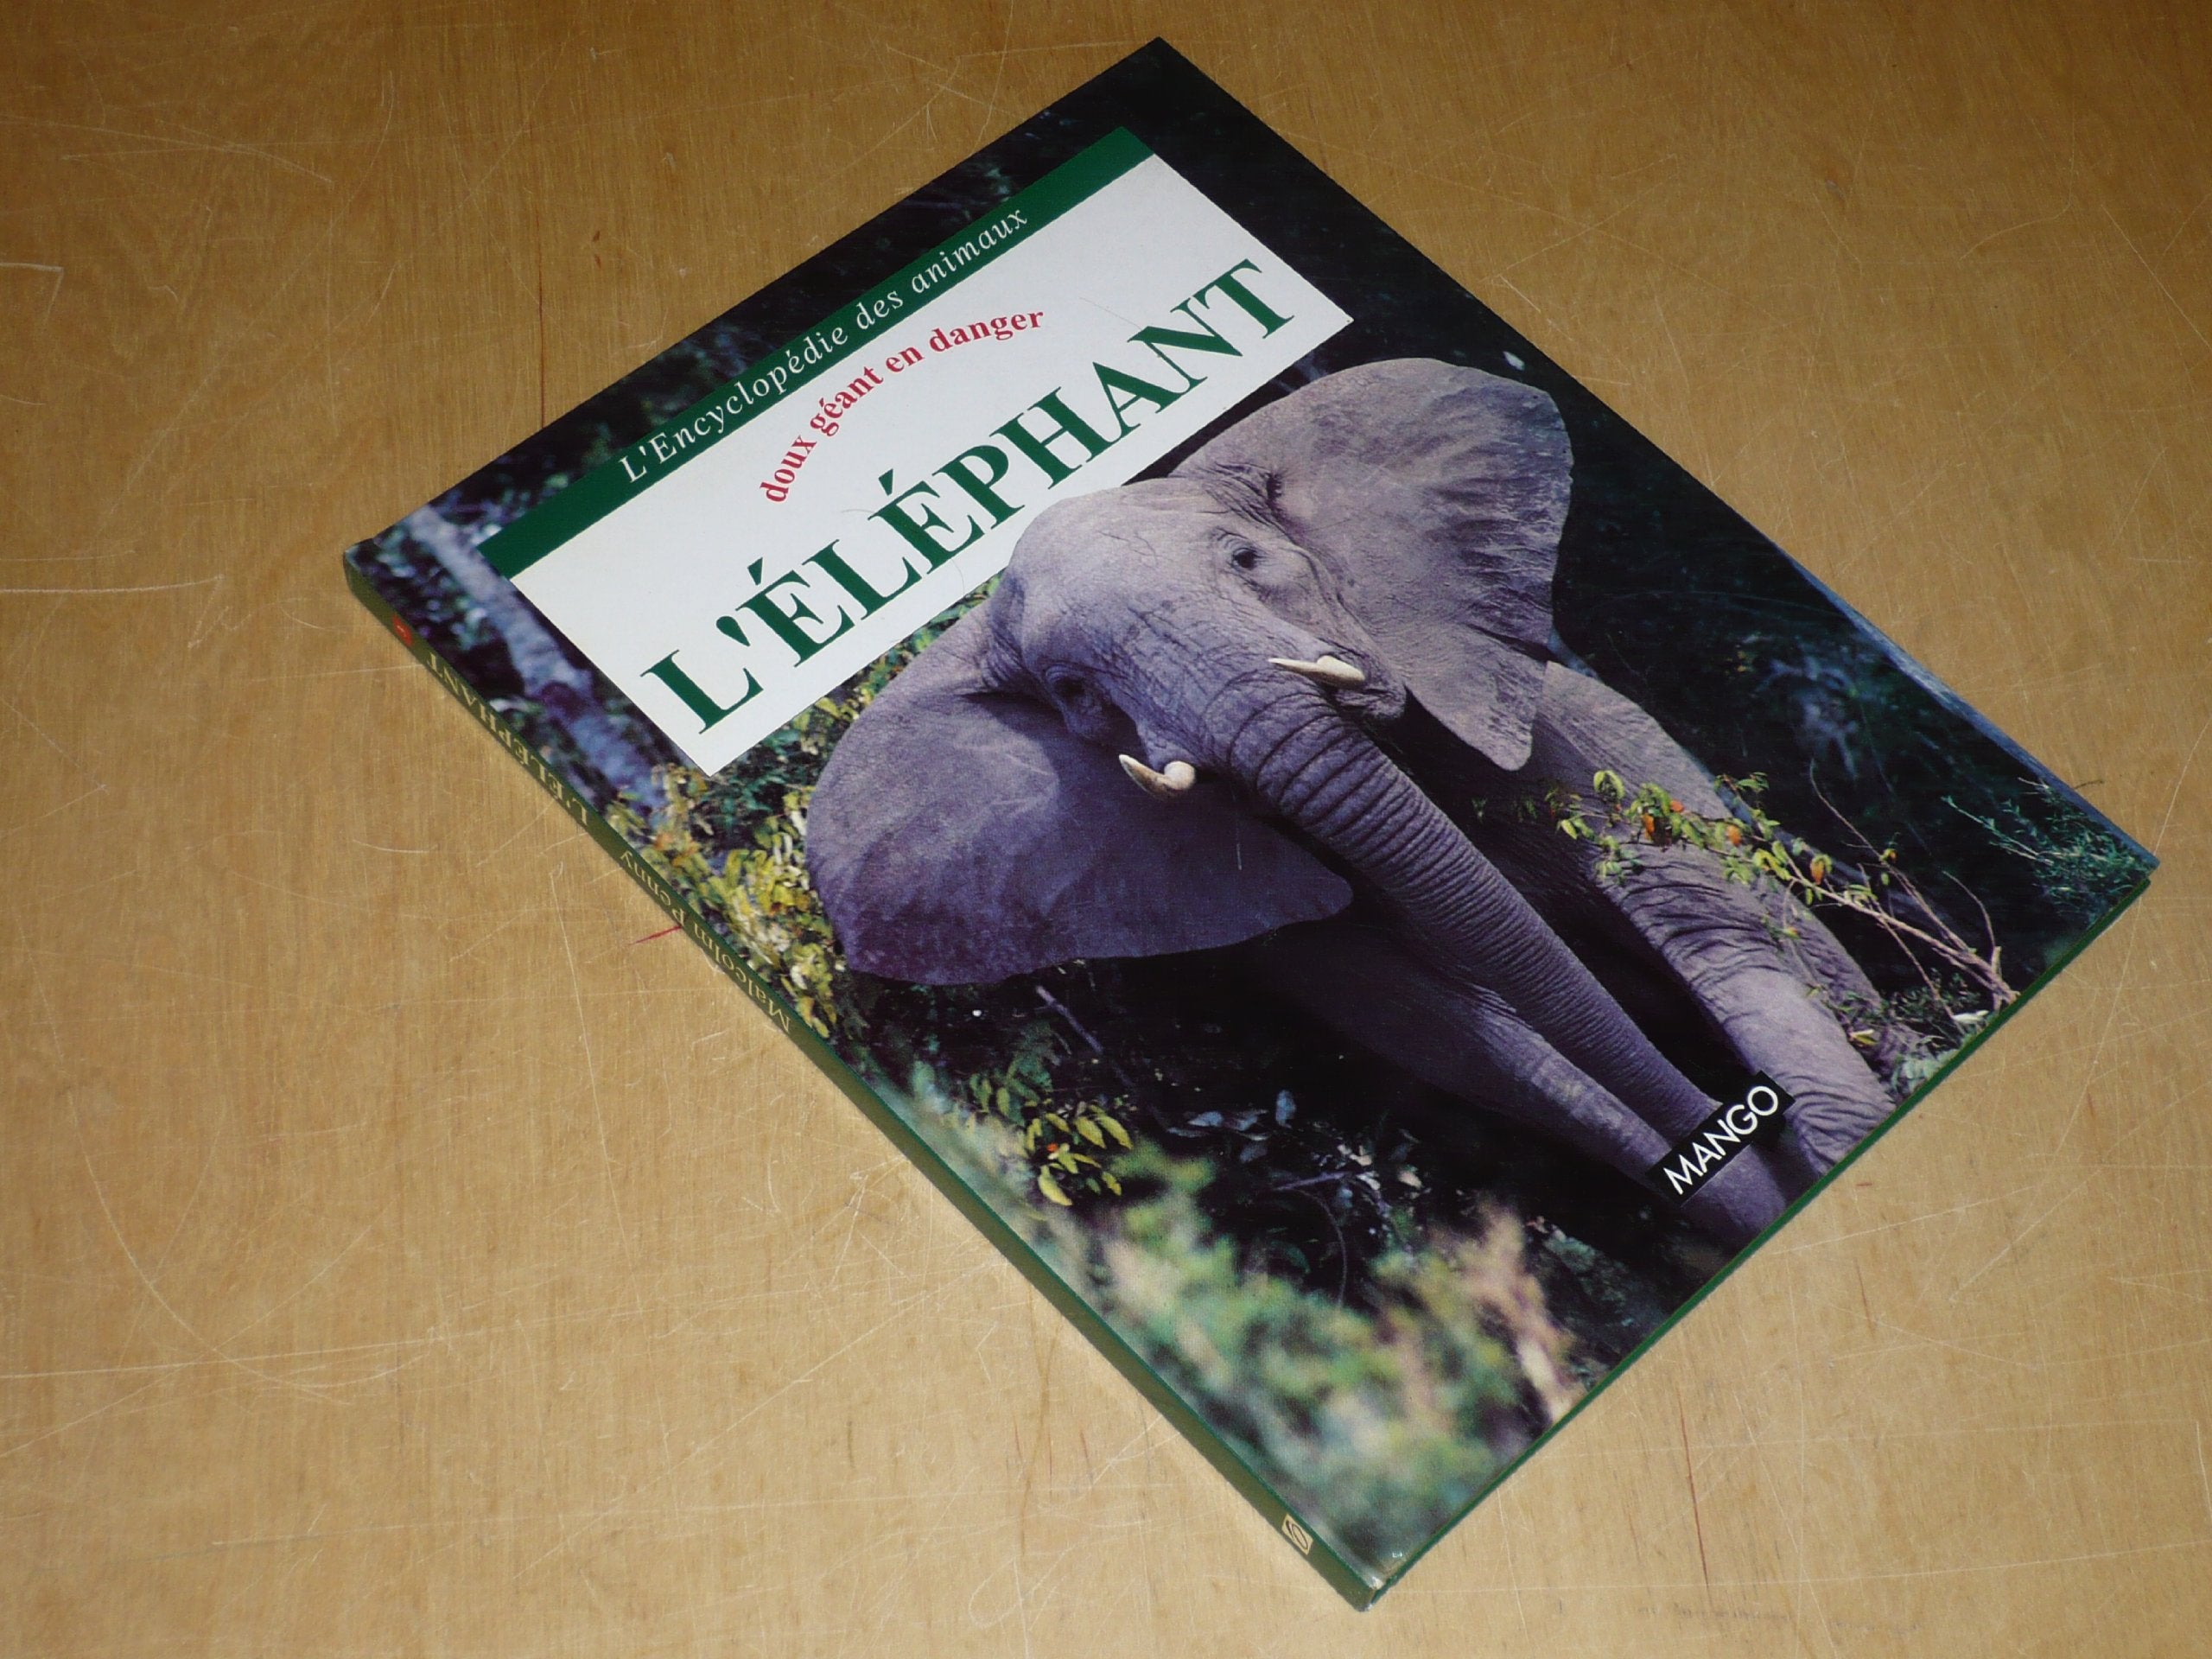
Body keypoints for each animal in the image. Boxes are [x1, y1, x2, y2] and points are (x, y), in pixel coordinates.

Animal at [805, 357, 1902, 1245]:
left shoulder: (1547, 737)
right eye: (1075, 693)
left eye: (1245, 562)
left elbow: (1697, 911)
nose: (1737, 1119)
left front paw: (1830, 1142)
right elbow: (1470, 1038)